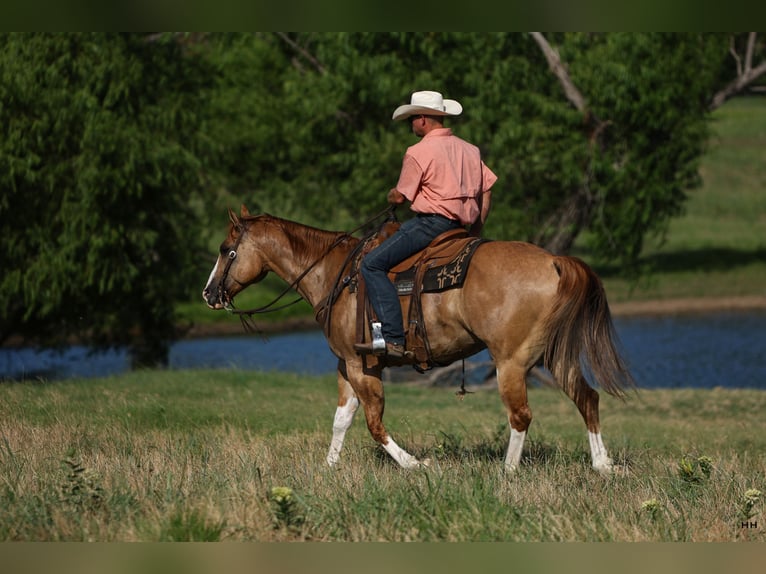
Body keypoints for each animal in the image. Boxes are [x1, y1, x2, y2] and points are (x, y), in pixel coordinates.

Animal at [202, 207, 636, 476]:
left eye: (225, 250)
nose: (208, 294)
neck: (334, 274)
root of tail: (554, 261)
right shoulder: (346, 365)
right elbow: (342, 419)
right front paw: (328, 467)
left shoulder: (361, 365)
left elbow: (374, 424)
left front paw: (415, 464)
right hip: (552, 356)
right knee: (586, 397)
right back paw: (603, 465)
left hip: (511, 362)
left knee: (521, 415)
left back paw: (507, 471)